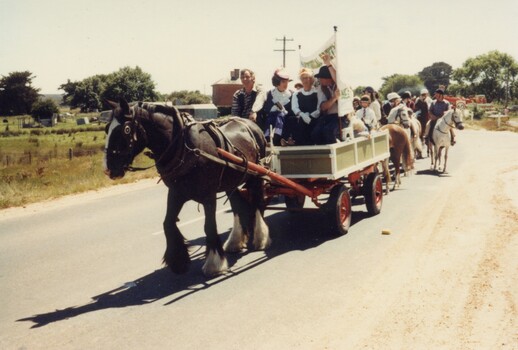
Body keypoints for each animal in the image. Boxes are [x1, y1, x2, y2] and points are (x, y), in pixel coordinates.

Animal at [103, 98, 270, 276]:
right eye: (107, 129)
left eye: (126, 129)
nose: (108, 169)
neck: (184, 147)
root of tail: (251, 124)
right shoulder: (176, 192)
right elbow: (168, 223)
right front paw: (178, 261)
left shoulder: (208, 195)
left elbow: (209, 226)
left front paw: (214, 263)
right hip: (231, 182)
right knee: (238, 206)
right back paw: (235, 242)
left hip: (257, 175)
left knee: (257, 203)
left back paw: (261, 238)